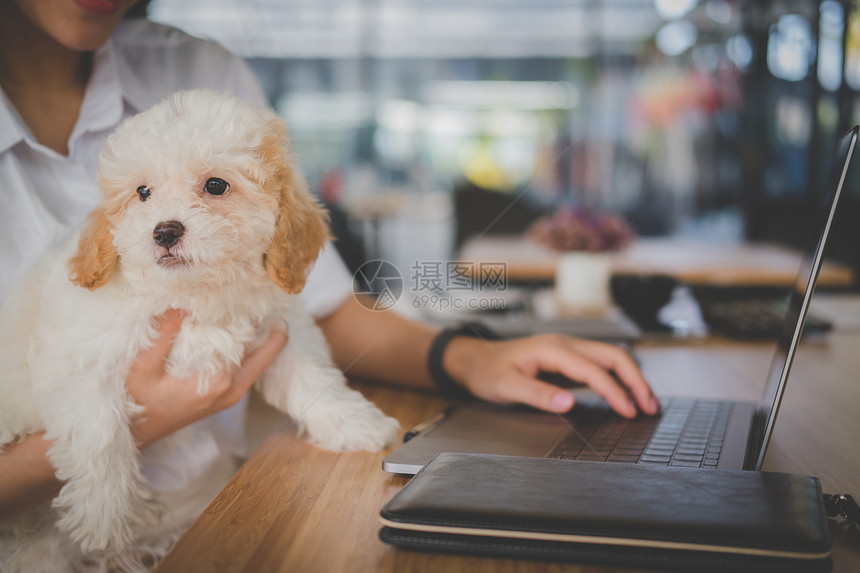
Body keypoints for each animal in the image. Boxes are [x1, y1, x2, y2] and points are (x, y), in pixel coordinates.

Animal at [0, 89, 402, 572]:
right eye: (143, 193)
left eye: (215, 186)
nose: (164, 231)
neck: (194, 294)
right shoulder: (80, 359)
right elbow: (100, 435)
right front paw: (106, 517)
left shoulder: (279, 328)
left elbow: (312, 379)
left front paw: (357, 423)